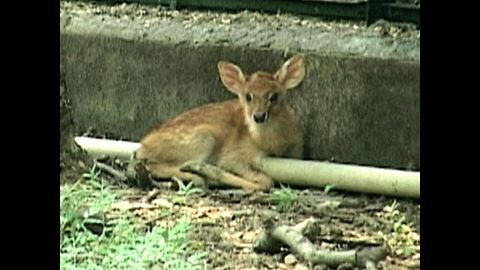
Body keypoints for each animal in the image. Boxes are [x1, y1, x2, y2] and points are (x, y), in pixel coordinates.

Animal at [134, 54, 308, 191]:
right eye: (248, 96)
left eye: (274, 96)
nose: (259, 116)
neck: (272, 145)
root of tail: (143, 145)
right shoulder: (234, 155)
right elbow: (265, 181)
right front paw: (206, 171)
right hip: (202, 139)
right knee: (153, 164)